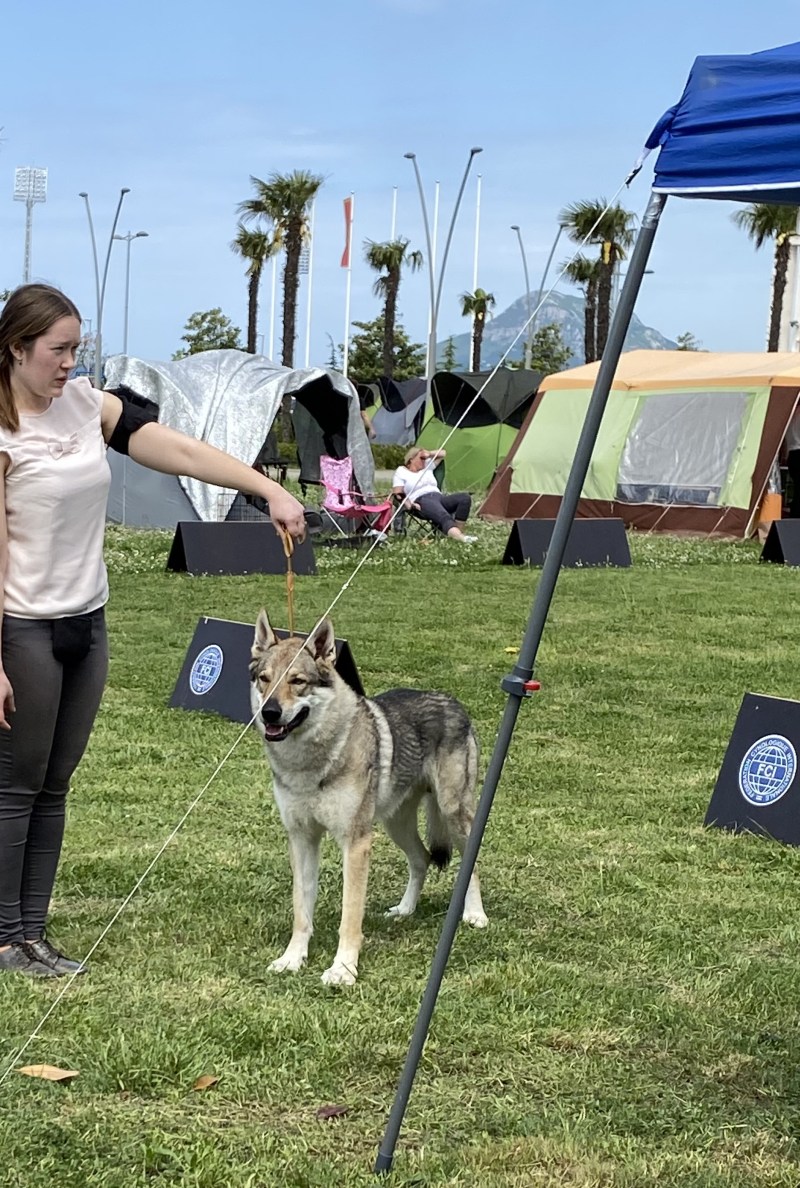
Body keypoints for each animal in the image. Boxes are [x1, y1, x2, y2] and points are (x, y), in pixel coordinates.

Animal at [249, 613, 487, 983]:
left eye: (298, 681)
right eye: (265, 679)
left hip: (453, 813)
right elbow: (301, 911)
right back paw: (405, 910)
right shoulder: (302, 839)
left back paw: (475, 915)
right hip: (395, 824)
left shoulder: (356, 842)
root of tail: (453, 701)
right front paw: (292, 959)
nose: (269, 713)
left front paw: (343, 970)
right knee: (421, 859)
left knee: (469, 864)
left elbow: (350, 916)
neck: (310, 764)